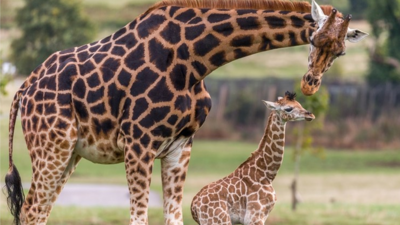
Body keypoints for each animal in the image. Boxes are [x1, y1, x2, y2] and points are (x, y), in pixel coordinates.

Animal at [191, 92, 316, 225]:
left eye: (299, 104)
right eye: (288, 108)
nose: (310, 115)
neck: (266, 173)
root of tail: (193, 207)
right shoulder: (255, 216)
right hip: (219, 220)